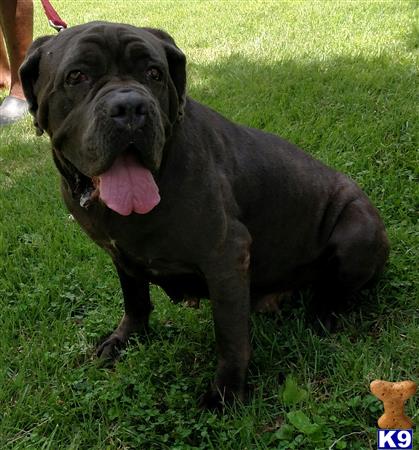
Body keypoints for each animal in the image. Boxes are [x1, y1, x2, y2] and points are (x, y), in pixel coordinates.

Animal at [18, 21, 388, 408]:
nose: (130, 107)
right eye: (77, 76)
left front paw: (226, 392)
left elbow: (230, 335)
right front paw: (126, 338)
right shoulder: (121, 256)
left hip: (357, 228)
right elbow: (134, 299)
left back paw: (321, 316)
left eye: (154, 74)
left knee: (335, 290)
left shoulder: (225, 257)